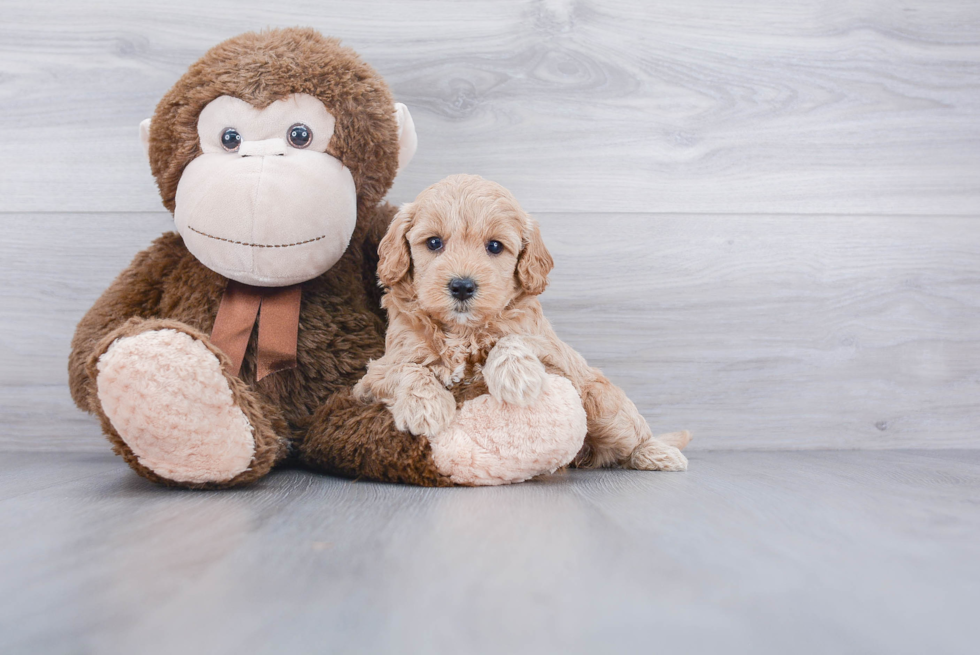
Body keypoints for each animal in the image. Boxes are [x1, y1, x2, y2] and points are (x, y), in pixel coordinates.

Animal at [354, 174, 688, 472]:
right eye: (434, 243)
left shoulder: (557, 363)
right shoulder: (373, 376)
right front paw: (426, 407)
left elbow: (514, 338)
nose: (462, 286)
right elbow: (407, 369)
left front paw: (517, 376)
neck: (463, 331)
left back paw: (659, 454)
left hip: (602, 403)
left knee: (633, 435)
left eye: (494, 247)